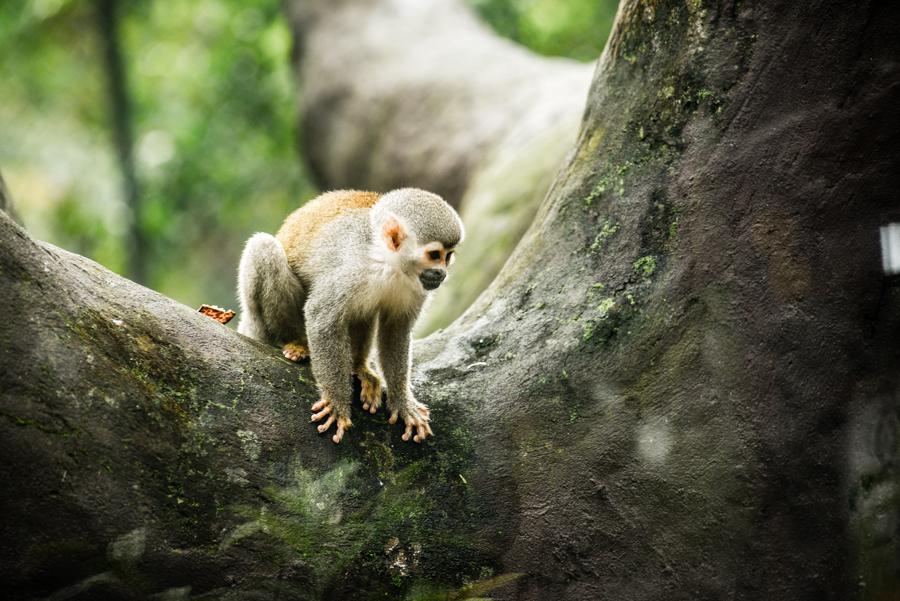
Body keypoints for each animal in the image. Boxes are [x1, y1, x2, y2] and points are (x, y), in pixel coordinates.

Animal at [237, 190, 464, 442]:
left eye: (448, 256)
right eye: (434, 255)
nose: (441, 273)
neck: (388, 264)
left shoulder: (416, 287)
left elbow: (396, 330)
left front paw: (402, 401)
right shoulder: (351, 268)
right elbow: (321, 315)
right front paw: (337, 402)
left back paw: (359, 367)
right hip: (258, 319)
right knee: (264, 248)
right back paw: (297, 343)